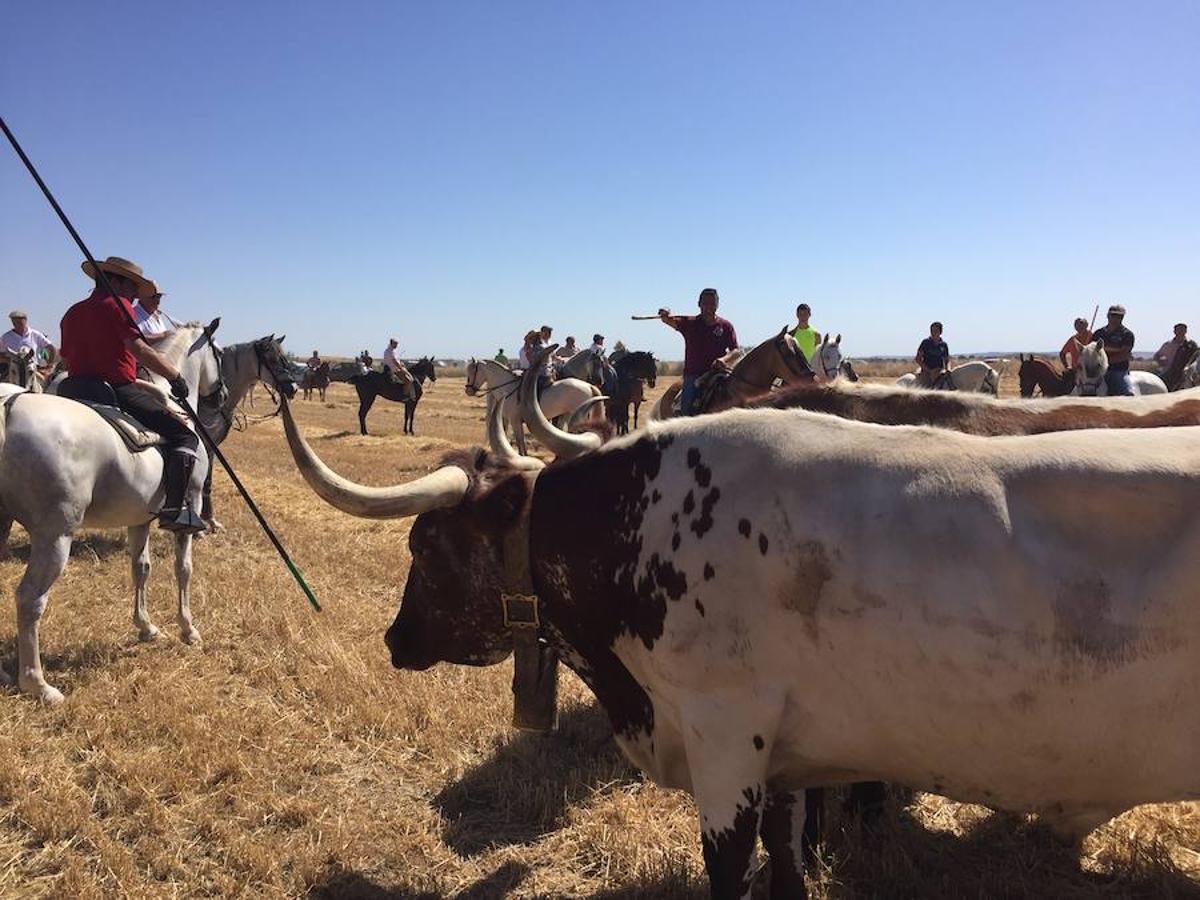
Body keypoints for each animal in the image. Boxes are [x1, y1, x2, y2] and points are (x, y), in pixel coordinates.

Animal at [0, 324, 223, 705]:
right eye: (219, 353)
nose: (221, 395)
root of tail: (10, 408)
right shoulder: (189, 508)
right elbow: (183, 569)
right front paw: (188, 629)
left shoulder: (140, 518)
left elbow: (141, 569)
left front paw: (146, 627)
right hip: (55, 538)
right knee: (30, 600)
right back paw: (38, 684)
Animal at [463, 357, 604, 453]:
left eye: (472, 372)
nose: (468, 390)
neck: (509, 387)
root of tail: (589, 386)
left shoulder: (515, 421)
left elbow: (521, 445)